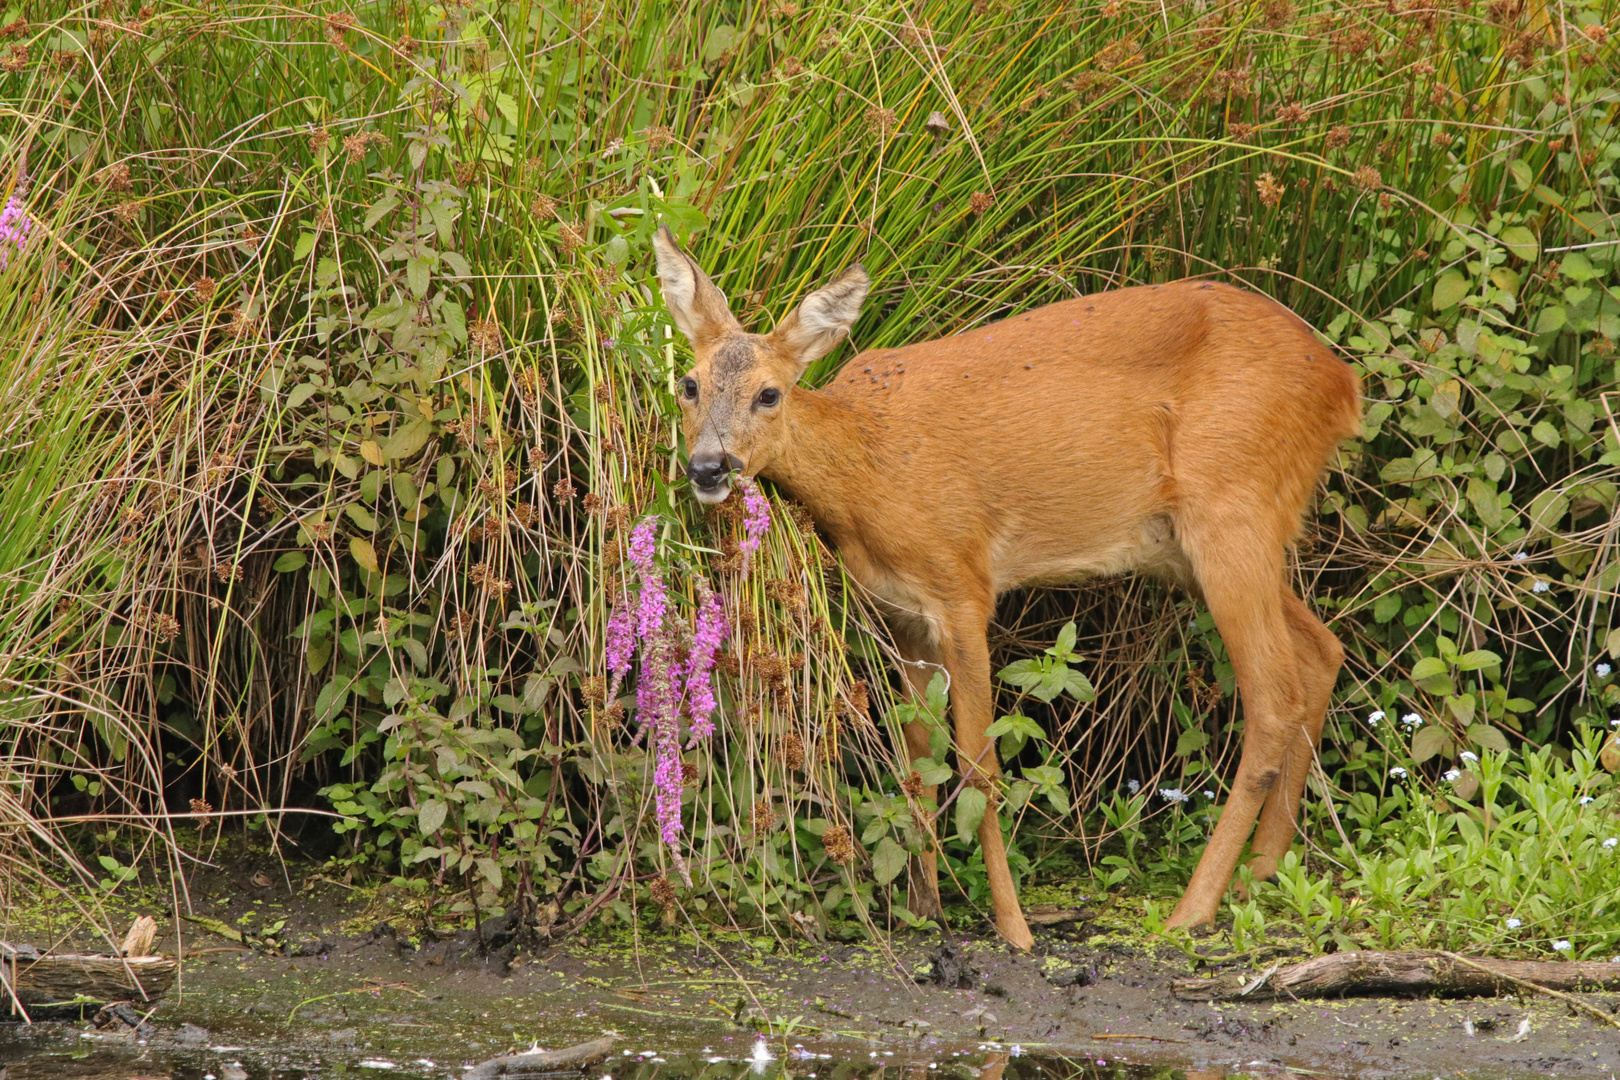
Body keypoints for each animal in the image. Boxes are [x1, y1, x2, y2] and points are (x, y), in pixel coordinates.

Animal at [651, 226, 1360, 945]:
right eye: (688, 383)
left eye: (769, 393)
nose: (708, 467)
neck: (869, 469)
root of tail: (1344, 383)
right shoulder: (899, 611)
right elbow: (916, 758)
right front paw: (924, 905)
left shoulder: (963, 584)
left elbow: (978, 765)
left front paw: (1013, 927)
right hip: (1197, 544)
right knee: (1322, 651)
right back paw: (1262, 874)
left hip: (1232, 506)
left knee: (1274, 696)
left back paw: (1192, 909)